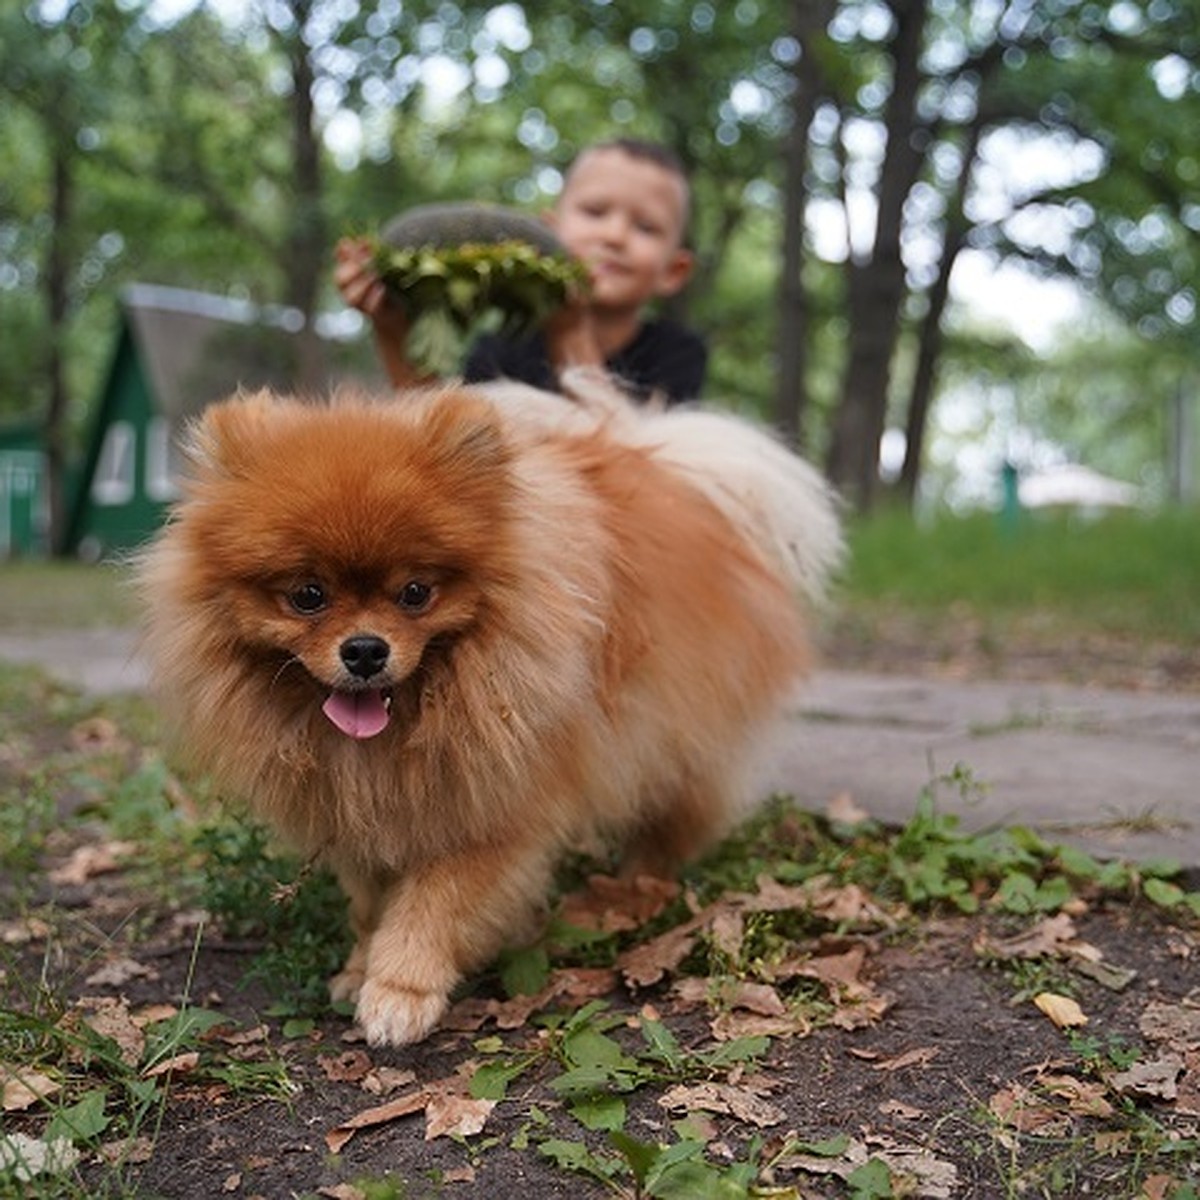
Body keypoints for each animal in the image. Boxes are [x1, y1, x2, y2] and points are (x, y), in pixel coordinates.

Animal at [138, 369, 835, 1046]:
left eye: (415, 593)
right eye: (308, 595)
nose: (364, 649)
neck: (411, 720)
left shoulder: (496, 809)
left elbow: (435, 902)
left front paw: (399, 993)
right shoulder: (360, 813)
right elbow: (370, 904)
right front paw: (359, 969)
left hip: (668, 730)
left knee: (668, 823)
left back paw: (629, 894)